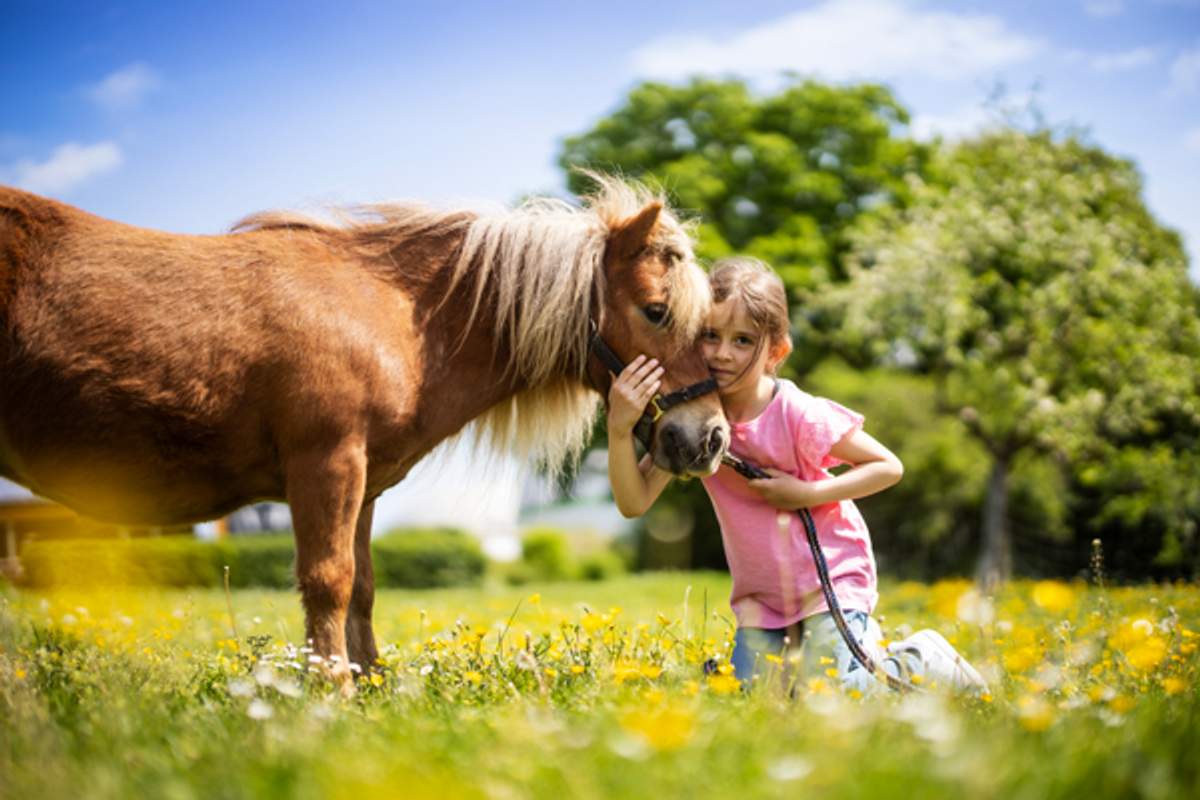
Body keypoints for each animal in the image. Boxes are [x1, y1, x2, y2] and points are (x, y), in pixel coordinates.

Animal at [0, 175, 729, 690]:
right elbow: (328, 579)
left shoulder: (365, 486)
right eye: (657, 310)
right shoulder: (327, 464)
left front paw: (371, 684)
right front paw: (333, 695)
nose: (711, 438)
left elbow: (365, 586)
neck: (390, 314)